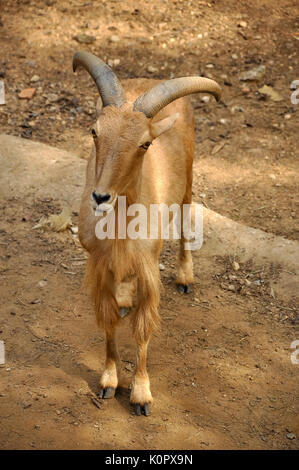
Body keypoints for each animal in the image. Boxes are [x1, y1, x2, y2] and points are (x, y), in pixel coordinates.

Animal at [74, 51, 221, 414]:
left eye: (145, 143)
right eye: (94, 131)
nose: (100, 197)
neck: (119, 231)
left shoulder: (148, 268)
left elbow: (142, 330)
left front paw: (141, 395)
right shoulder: (98, 266)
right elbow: (109, 321)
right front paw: (109, 382)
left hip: (188, 179)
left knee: (185, 220)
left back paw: (185, 276)